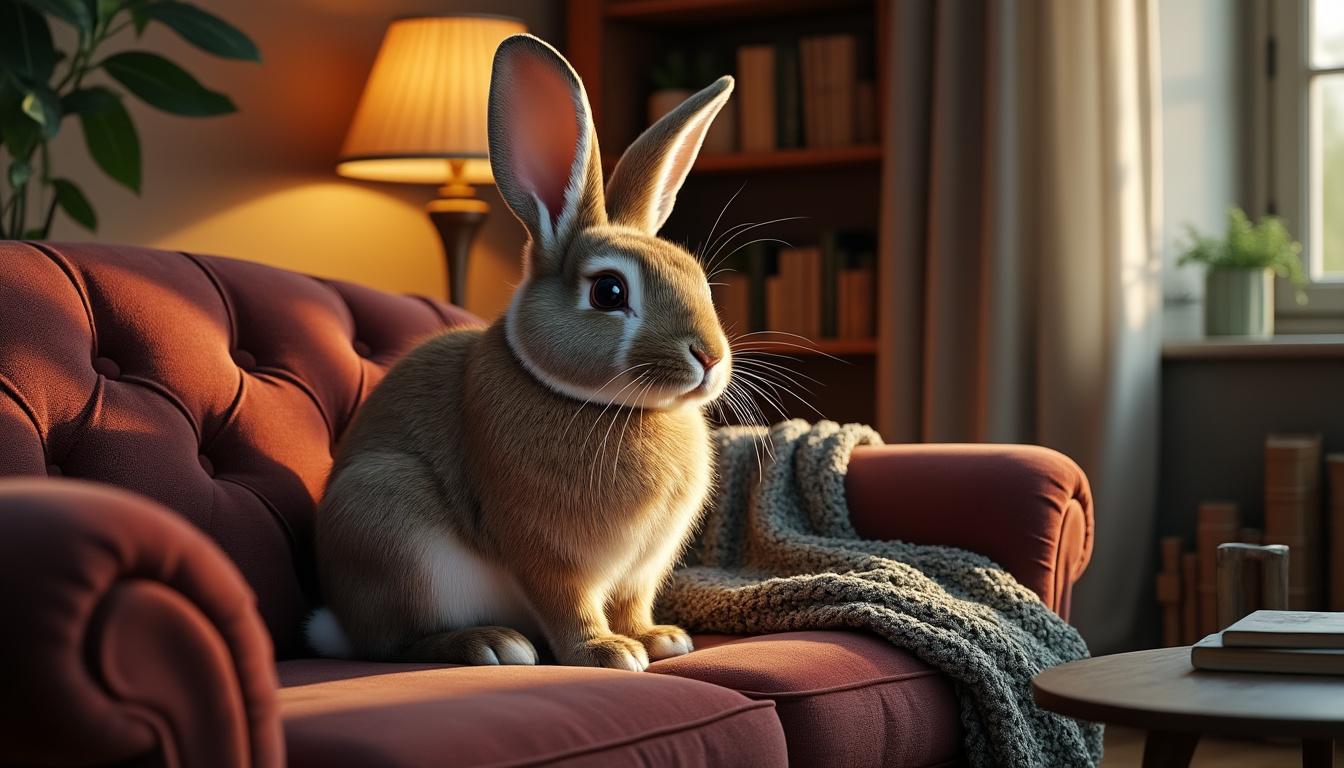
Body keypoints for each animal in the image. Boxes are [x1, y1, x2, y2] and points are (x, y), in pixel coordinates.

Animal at [307, 34, 736, 672]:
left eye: (698, 280)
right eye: (610, 292)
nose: (708, 358)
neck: (611, 407)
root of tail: (336, 621)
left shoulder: (641, 570)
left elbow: (631, 602)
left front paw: (658, 639)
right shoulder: (547, 552)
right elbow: (568, 604)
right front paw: (607, 653)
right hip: (389, 525)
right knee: (396, 641)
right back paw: (491, 643)